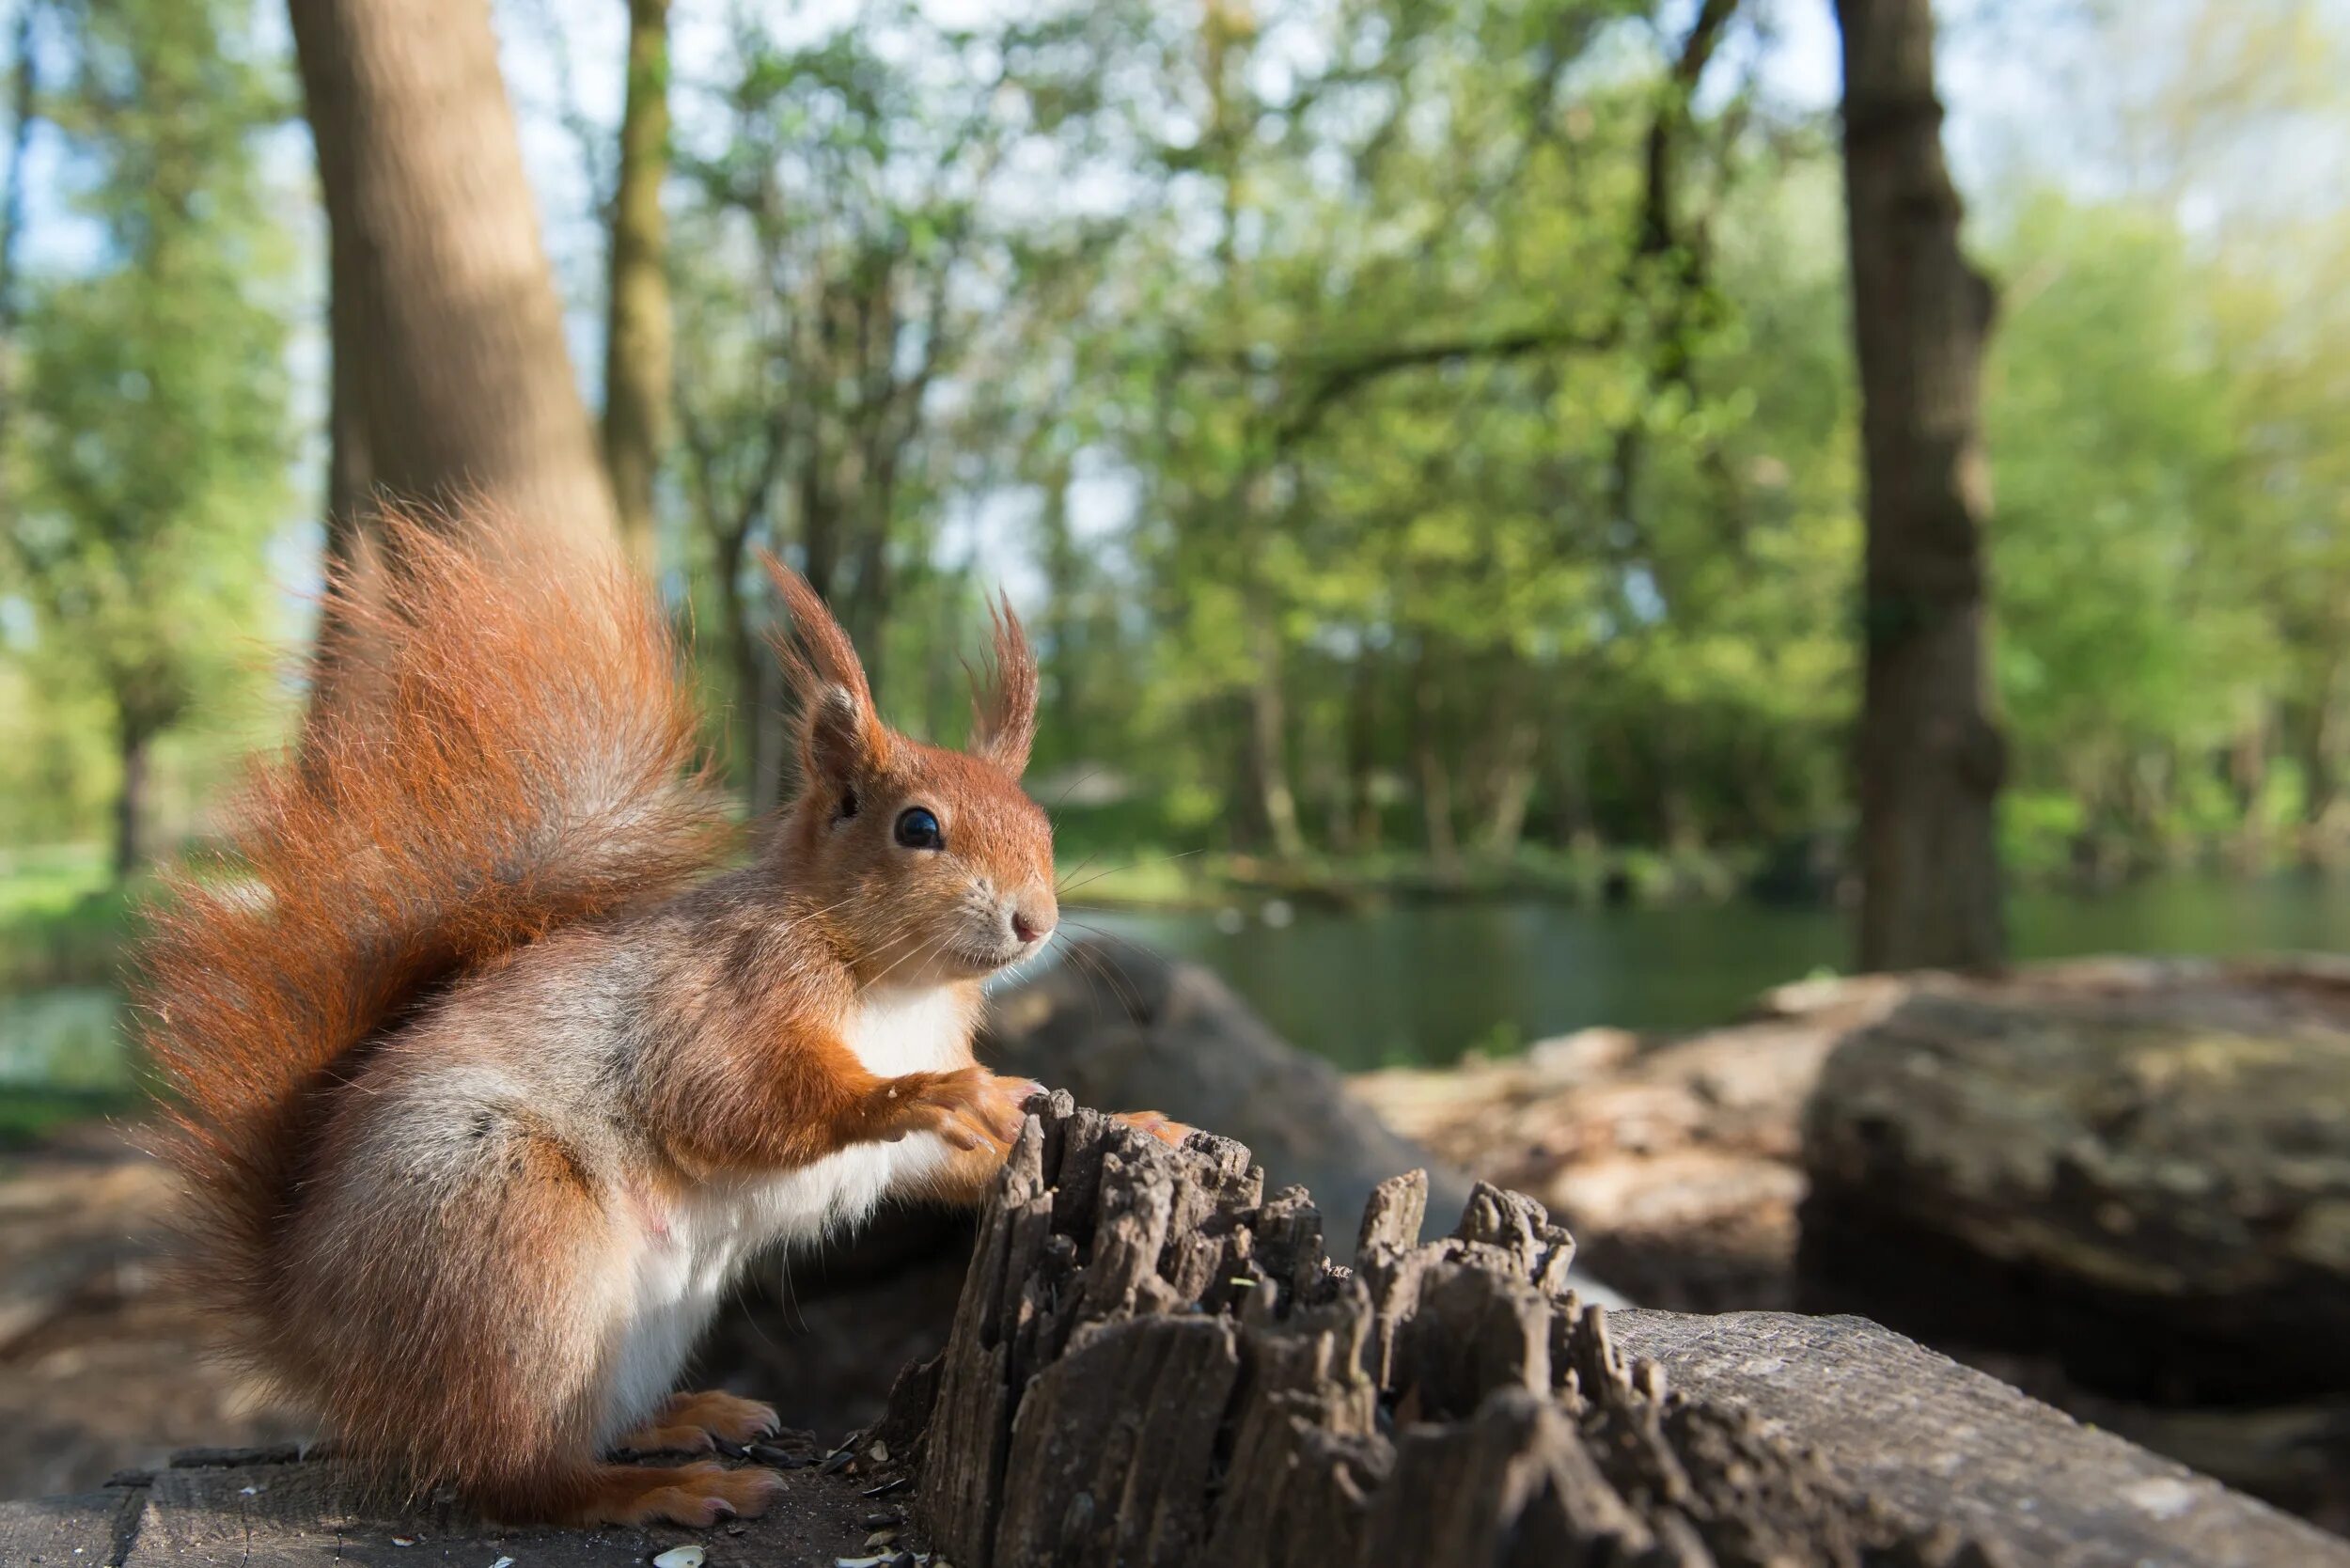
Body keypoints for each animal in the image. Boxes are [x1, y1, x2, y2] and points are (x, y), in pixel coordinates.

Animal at [137, 522, 1184, 1523]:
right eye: (917, 828)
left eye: (1043, 826)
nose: (1036, 921)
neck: (900, 988)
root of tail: (316, 1334)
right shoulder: (725, 995)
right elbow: (729, 1101)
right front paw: (922, 1091)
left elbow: (959, 1159)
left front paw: (1132, 1121)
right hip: (507, 1239)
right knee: (513, 1477)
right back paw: (650, 1491)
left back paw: (678, 1422)